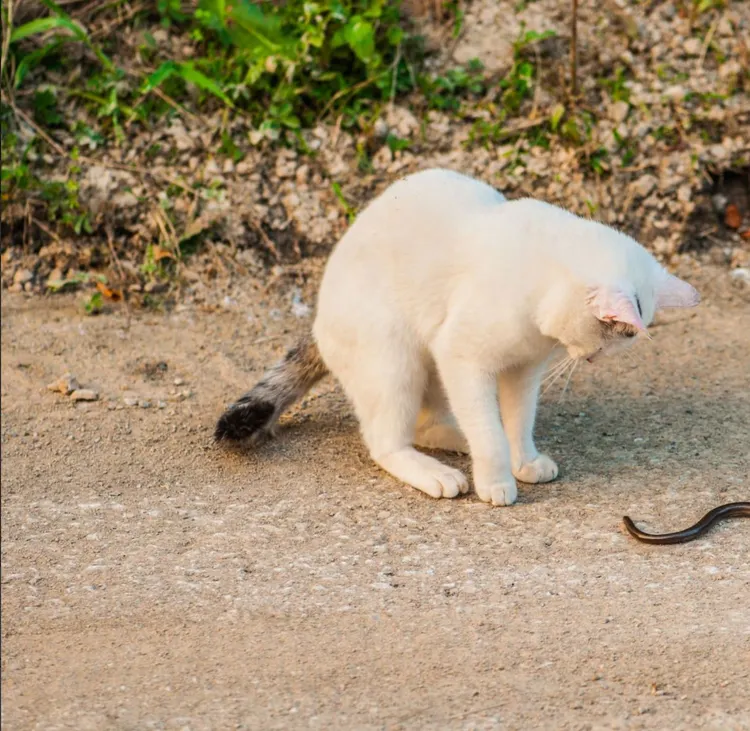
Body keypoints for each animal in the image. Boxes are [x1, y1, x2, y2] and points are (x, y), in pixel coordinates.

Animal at [214, 169, 704, 506]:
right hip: (397, 360)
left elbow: (517, 423)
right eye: (610, 339)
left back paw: (459, 442)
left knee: (431, 423)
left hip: (427, 371)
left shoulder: (522, 373)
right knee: (386, 440)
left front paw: (522, 459)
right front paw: (496, 479)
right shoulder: (463, 359)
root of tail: (317, 320)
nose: (593, 360)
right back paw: (438, 471)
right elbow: (488, 432)